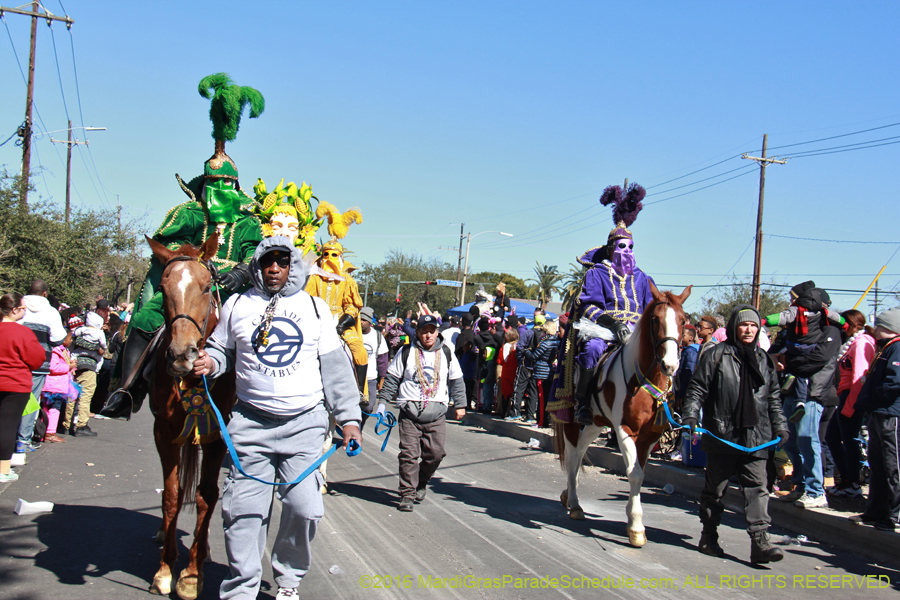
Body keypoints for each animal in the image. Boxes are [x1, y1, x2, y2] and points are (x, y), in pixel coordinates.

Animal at [552, 286, 692, 548]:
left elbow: (640, 474)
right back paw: (574, 503)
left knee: (581, 452)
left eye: (683, 320)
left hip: (596, 424)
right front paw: (636, 526)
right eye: (655, 319)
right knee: (574, 456)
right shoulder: (625, 430)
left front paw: (634, 523)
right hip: (573, 422)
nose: (670, 365)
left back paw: (568, 496)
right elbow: (633, 473)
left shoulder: (649, 437)